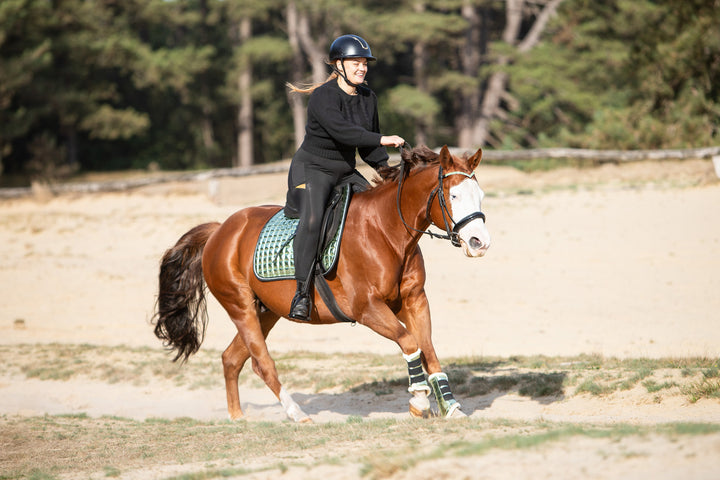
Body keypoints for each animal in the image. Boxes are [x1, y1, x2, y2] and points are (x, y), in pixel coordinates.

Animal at [151, 144, 490, 422]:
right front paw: (419, 402)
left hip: (267, 311)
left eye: (481, 196)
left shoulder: (414, 300)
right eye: (454, 196)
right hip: (240, 306)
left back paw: (238, 419)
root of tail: (220, 230)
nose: (480, 243)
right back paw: (296, 414)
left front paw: (451, 407)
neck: (387, 232)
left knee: (232, 359)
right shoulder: (367, 309)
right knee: (262, 362)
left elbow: (429, 350)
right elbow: (410, 343)